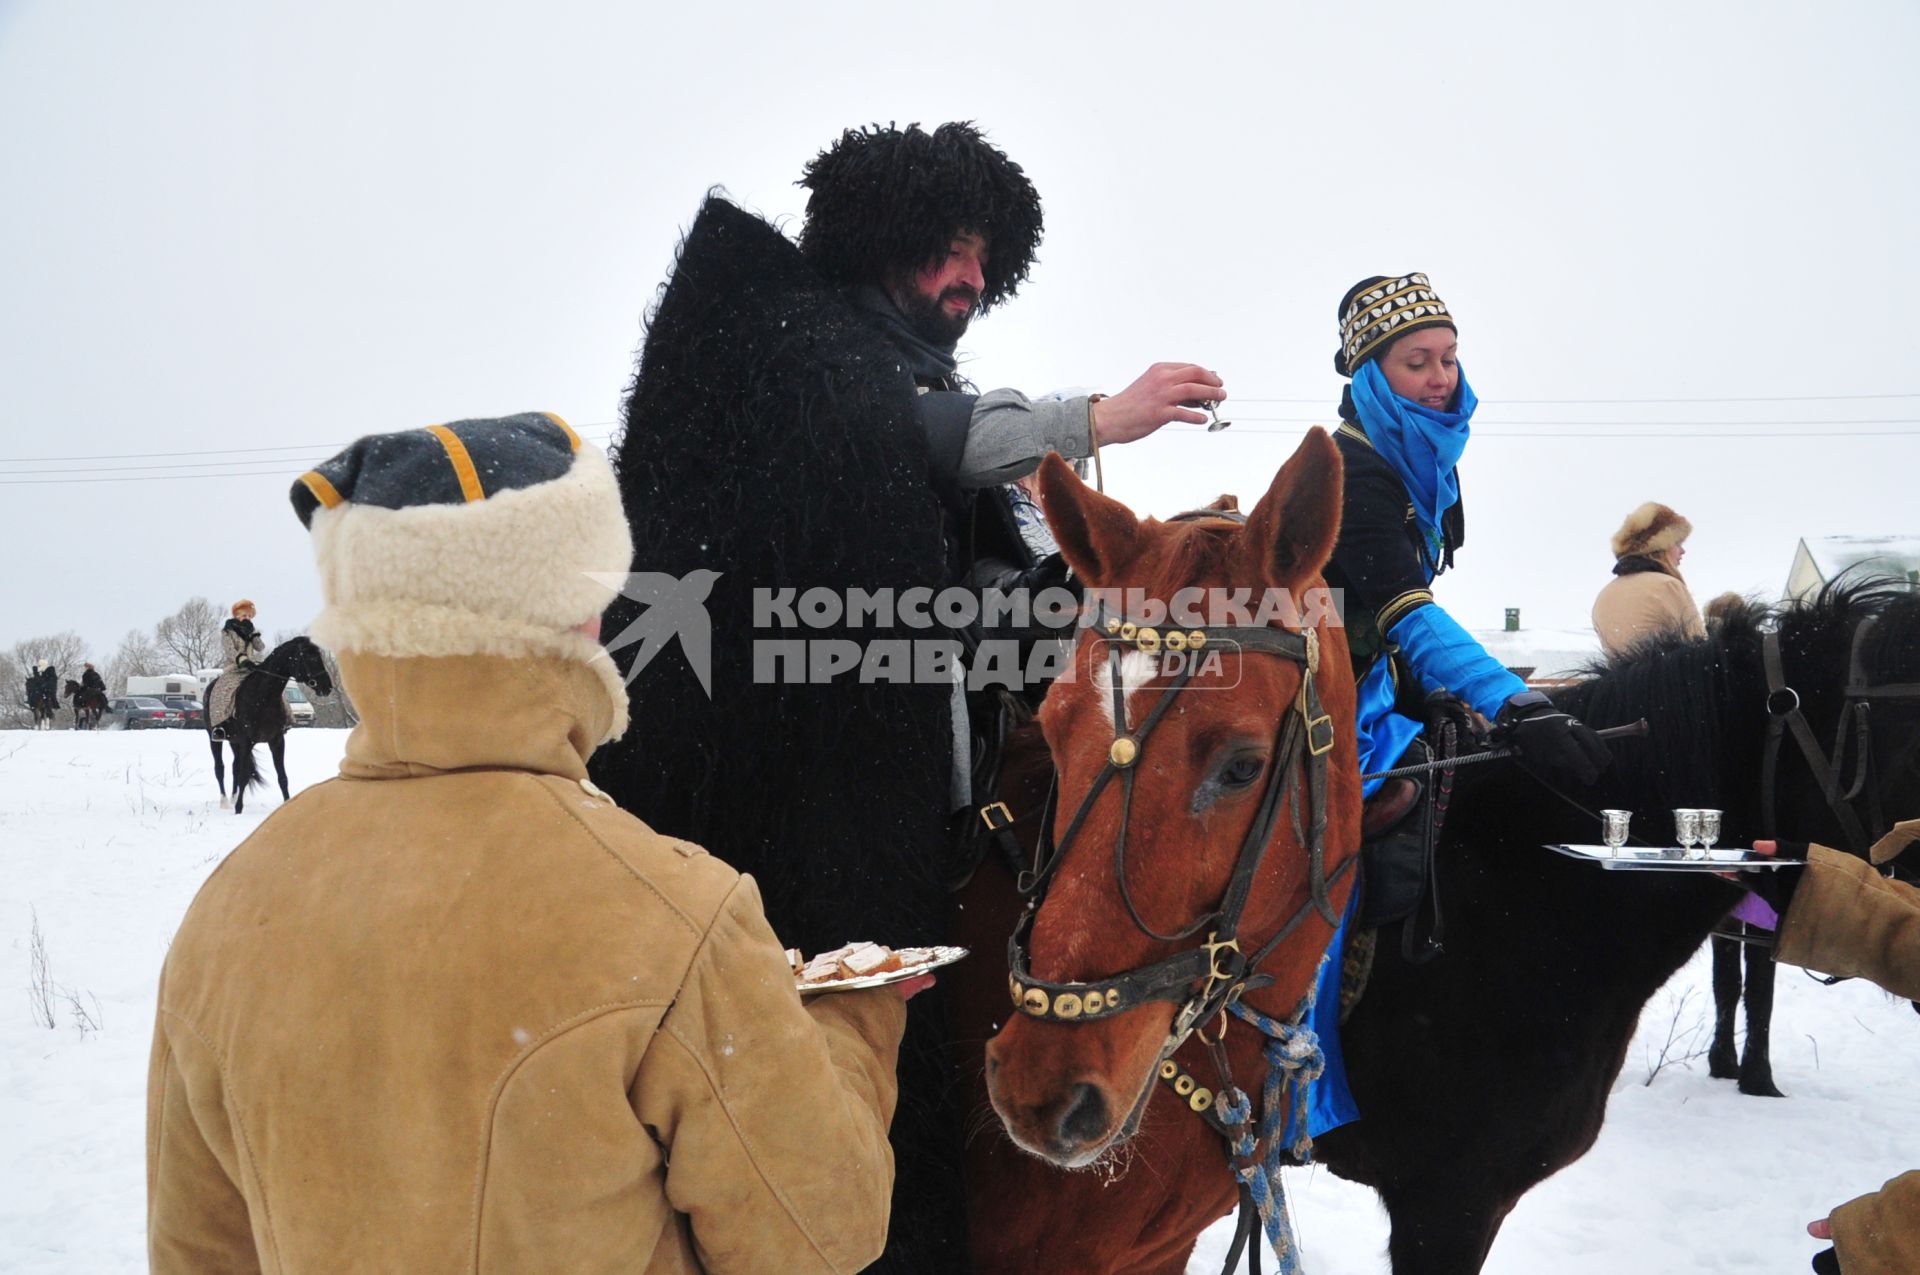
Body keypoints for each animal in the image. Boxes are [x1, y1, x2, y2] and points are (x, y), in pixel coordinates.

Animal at [208, 637, 336, 817]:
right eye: (310, 658)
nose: (327, 686)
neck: (263, 696)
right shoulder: (247, 741)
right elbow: (243, 775)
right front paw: (239, 809)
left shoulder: (276, 741)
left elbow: (282, 776)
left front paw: (287, 804)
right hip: (214, 739)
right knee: (220, 768)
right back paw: (225, 802)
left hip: (235, 741)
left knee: (234, 767)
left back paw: (232, 798)